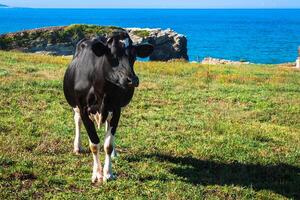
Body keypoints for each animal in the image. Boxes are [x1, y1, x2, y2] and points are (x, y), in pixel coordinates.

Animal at [62, 30, 154, 184]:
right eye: (112, 54)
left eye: (134, 56)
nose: (132, 80)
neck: (102, 91)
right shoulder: (84, 109)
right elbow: (94, 144)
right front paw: (97, 174)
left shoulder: (116, 109)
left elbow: (108, 145)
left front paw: (108, 173)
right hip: (75, 106)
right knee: (77, 120)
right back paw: (77, 147)